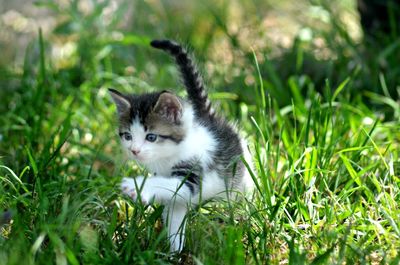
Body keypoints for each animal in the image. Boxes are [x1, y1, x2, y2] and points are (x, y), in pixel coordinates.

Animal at [108, 39, 253, 252]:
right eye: (128, 136)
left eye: (151, 137)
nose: (134, 150)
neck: (168, 156)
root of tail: (210, 119)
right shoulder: (177, 196)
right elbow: (174, 213)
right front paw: (174, 251)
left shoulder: (191, 174)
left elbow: (169, 185)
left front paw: (136, 186)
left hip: (241, 173)